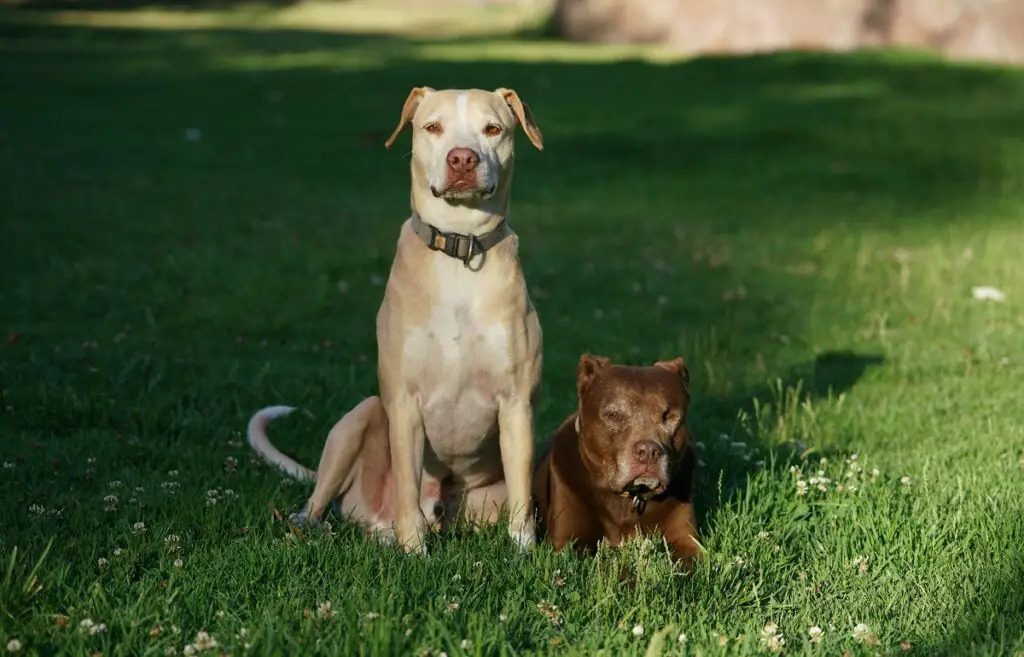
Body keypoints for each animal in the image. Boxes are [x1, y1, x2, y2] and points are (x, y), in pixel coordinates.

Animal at [532, 352, 700, 564]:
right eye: (614, 415)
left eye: (668, 416)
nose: (648, 451)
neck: (627, 499)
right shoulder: (566, 545)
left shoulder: (685, 539)